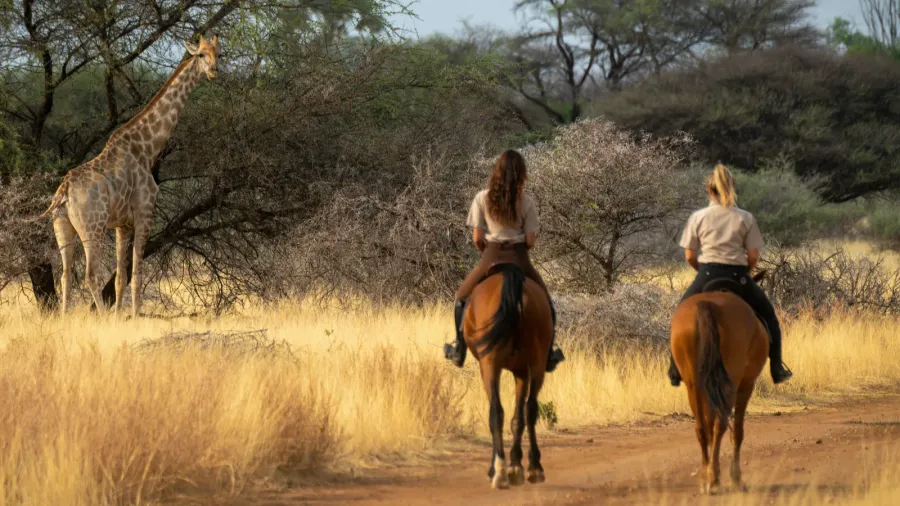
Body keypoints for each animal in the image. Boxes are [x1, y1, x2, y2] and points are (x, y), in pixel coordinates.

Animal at [38, 35, 222, 318]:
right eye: (201, 54)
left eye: (219, 54)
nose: (214, 71)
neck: (146, 148)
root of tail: (64, 191)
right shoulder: (145, 214)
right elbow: (136, 274)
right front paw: (133, 317)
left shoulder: (122, 225)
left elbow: (120, 278)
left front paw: (119, 318)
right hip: (93, 227)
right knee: (90, 275)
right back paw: (100, 318)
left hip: (62, 226)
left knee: (66, 275)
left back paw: (65, 318)